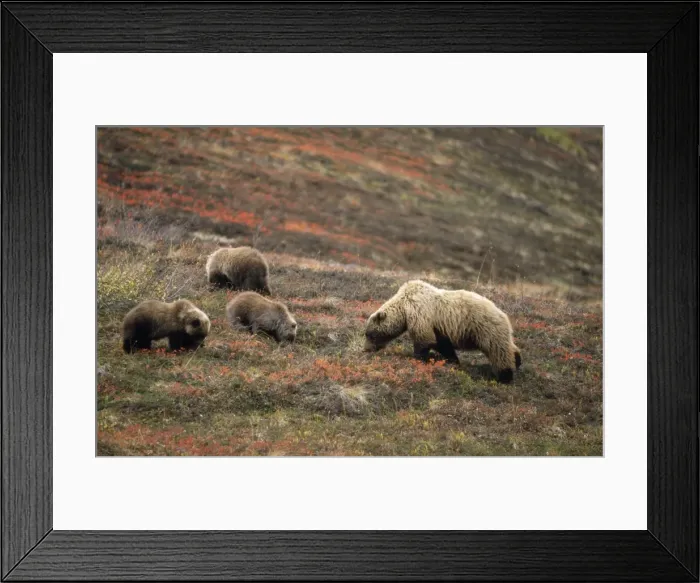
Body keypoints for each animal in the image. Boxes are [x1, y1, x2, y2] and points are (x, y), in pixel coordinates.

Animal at [363, 280, 522, 383]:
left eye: (370, 335)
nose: (366, 349)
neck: (403, 307)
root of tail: (504, 315)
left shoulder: (420, 313)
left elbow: (424, 339)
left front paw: (418, 359)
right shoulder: (437, 327)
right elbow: (442, 344)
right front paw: (453, 360)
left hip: (485, 329)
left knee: (498, 352)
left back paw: (505, 376)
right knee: (509, 347)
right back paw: (518, 360)